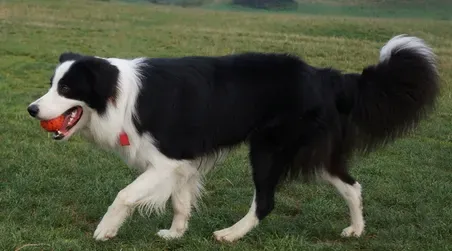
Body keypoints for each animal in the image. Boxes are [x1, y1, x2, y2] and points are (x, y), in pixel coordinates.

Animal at [27, 34, 438, 241]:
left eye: (66, 88)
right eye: (50, 84)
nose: (32, 109)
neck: (117, 93)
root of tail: (326, 76)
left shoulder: (167, 158)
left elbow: (125, 194)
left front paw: (105, 230)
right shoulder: (183, 163)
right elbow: (180, 201)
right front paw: (175, 234)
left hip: (269, 148)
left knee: (266, 201)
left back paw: (230, 234)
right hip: (314, 151)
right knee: (352, 184)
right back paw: (355, 230)